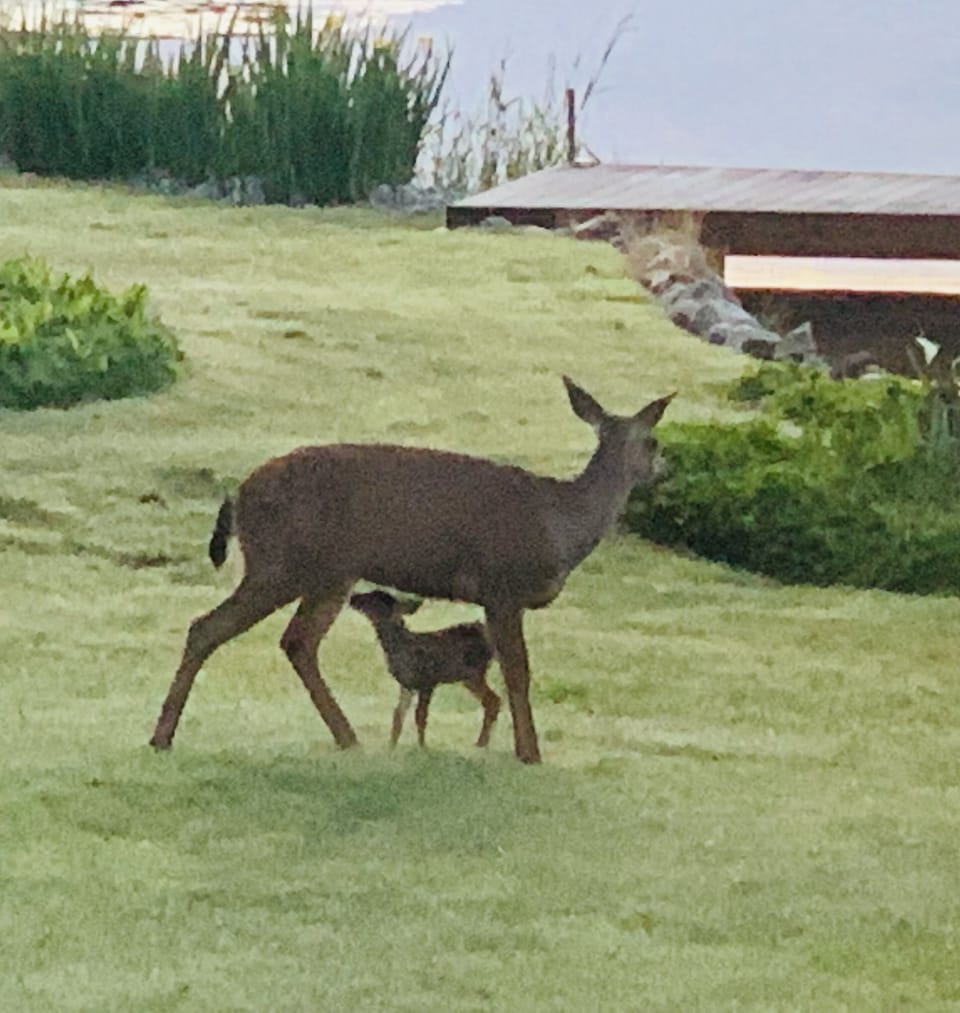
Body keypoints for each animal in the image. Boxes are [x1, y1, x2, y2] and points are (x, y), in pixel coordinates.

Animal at [348, 589, 500, 748]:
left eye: (372, 599)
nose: (353, 596)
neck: (401, 646)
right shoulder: (406, 684)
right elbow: (398, 715)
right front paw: (391, 747)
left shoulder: (427, 681)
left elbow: (420, 715)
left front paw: (422, 747)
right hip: (470, 676)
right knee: (493, 701)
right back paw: (482, 742)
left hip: (474, 672)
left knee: (493, 700)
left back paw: (481, 743)